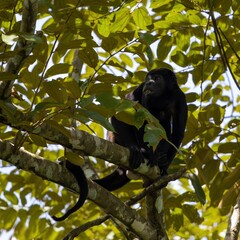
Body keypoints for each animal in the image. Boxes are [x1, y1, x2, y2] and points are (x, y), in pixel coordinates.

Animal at [52, 67, 188, 221]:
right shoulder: (139, 90)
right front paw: (135, 148)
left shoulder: (180, 98)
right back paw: (145, 152)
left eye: (157, 78)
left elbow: (177, 133)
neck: (162, 96)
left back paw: (158, 158)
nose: (149, 83)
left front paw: (164, 168)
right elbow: (121, 114)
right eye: (148, 79)